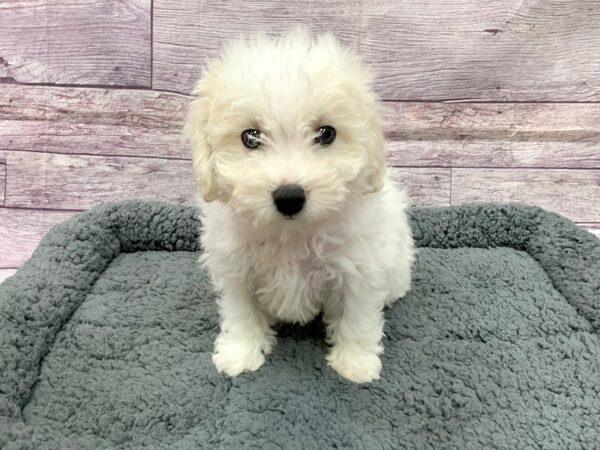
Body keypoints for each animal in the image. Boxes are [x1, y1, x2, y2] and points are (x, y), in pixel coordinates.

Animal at [185, 29, 414, 384]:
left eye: (326, 134)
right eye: (251, 137)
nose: (289, 196)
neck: (290, 234)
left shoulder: (361, 266)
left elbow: (358, 315)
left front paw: (355, 363)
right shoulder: (235, 264)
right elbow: (241, 310)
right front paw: (240, 353)